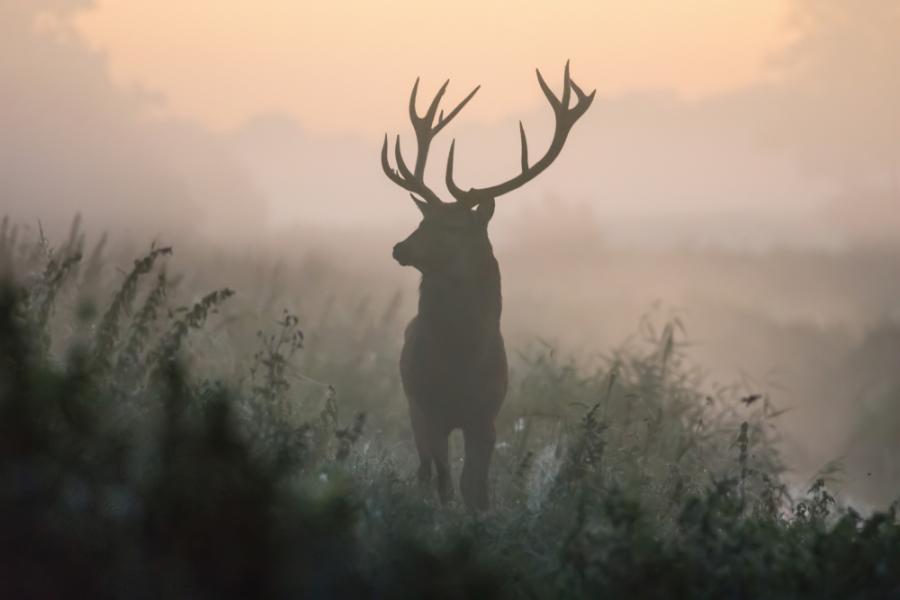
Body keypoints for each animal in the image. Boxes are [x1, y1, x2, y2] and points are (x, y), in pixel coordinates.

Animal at [382, 63, 596, 508]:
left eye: (452, 227)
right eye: (422, 220)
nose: (399, 248)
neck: (460, 360)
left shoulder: (486, 415)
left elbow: (475, 488)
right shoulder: (429, 409)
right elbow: (447, 483)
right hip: (413, 408)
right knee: (425, 472)